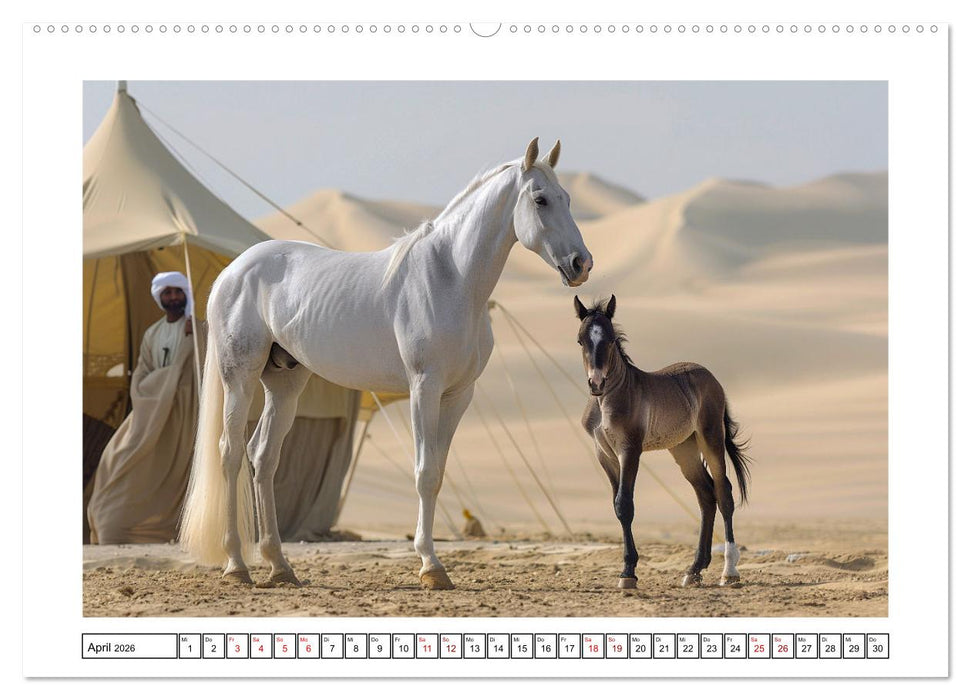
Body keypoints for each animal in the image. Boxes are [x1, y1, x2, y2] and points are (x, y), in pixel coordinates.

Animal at [178, 138, 593, 590]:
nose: (581, 264)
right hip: (240, 378)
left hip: (284, 383)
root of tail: (232, 271)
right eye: (540, 199)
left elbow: (437, 474)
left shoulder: (458, 396)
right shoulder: (423, 389)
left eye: (568, 198)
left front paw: (433, 563)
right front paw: (431, 566)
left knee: (263, 456)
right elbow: (424, 473)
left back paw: (280, 566)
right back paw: (237, 565)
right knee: (231, 453)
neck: (451, 280)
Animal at [573, 295, 752, 589]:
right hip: (684, 448)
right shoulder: (604, 454)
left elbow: (625, 505)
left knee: (723, 492)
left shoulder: (630, 450)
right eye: (580, 340)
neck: (606, 401)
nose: (596, 383)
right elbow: (616, 505)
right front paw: (628, 570)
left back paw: (729, 572)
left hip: (710, 437)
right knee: (706, 495)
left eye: (610, 339)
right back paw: (694, 570)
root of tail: (710, 377)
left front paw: (628, 573)